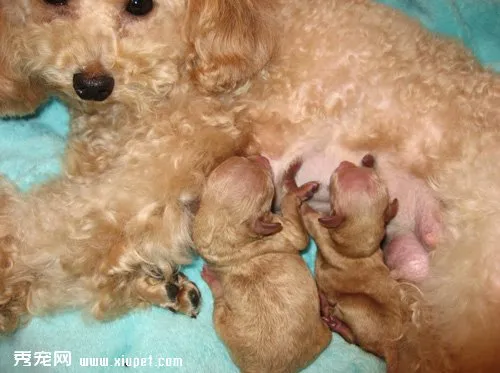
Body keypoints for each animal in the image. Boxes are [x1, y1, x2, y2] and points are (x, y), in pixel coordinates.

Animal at [193, 155, 330, 372]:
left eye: (242, 158)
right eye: (268, 182)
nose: (261, 157)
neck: (224, 230)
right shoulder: (288, 232)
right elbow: (293, 217)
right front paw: (298, 191)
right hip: (220, 319)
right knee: (219, 301)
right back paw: (213, 281)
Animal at [298, 155, 404, 372]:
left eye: (334, 181)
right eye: (370, 173)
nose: (344, 162)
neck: (359, 249)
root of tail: (391, 346)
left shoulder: (320, 228)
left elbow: (307, 215)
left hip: (351, 305)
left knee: (353, 338)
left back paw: (333, 319)